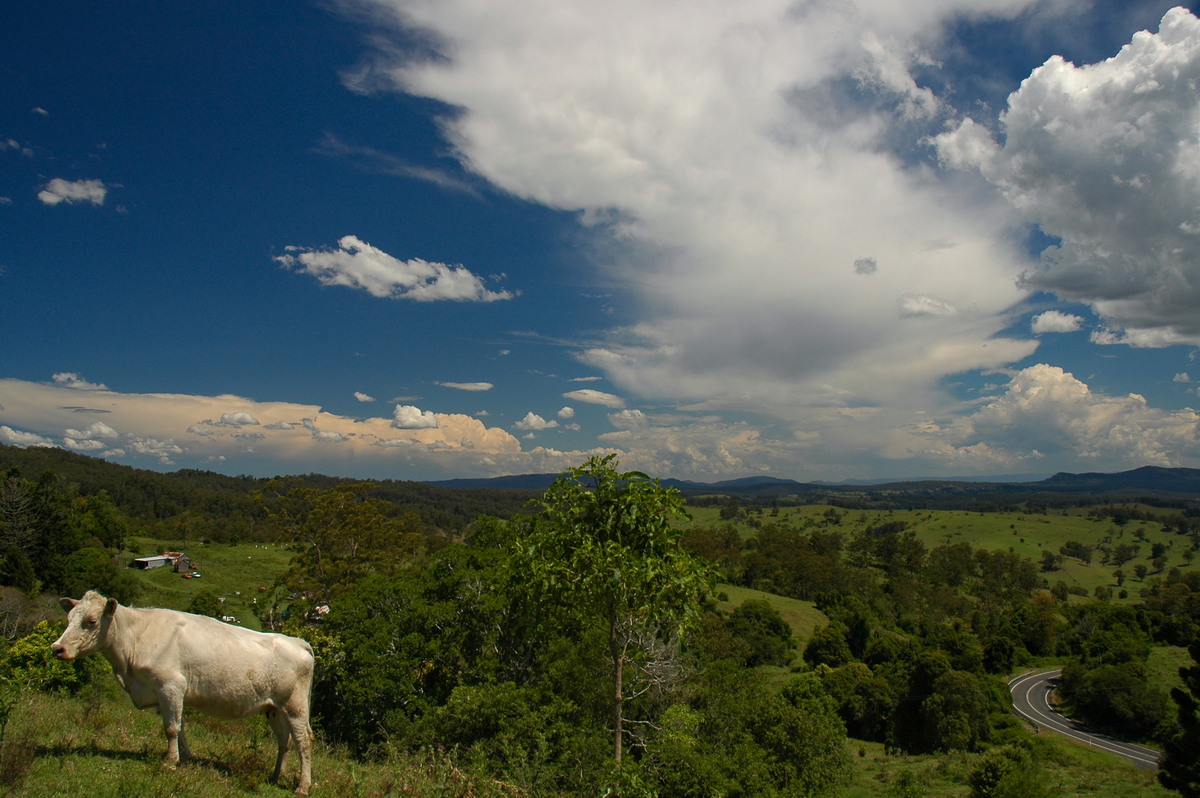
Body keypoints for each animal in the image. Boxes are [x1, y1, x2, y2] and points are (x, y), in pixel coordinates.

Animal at [51, 588, 314, 792]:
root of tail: (297, 641)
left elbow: (171, 728)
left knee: (303, 741)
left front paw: (170, 762)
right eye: (69, 619)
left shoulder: (170, 685)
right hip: (274, 708)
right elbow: (180, 726)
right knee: (284, 741)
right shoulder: (168, 692)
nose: (57, 648)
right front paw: (186, 758)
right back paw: (275, 776)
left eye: (92, 621)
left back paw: (302, 787)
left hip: (296, 707)